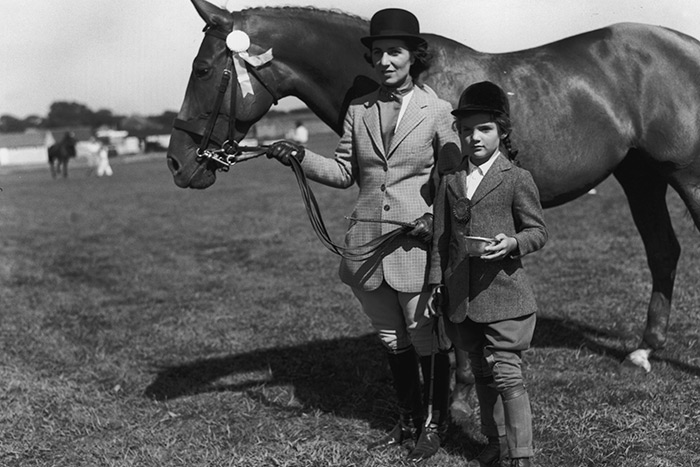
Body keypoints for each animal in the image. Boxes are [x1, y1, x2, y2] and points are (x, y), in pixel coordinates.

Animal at [165, 0, 700, 376]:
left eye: (203, 70)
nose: (176, 162)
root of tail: (683, 45)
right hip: (640, 175)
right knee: (663, 250)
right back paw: (644, 350)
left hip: (684, 173)